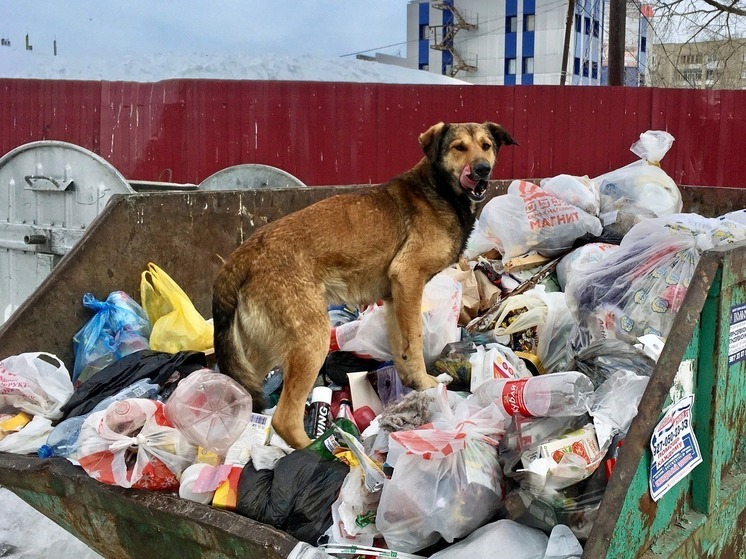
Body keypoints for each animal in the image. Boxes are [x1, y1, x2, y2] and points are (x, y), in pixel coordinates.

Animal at [212, 122, 516, 450]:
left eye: (486, 146)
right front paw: (425, 384)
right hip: (311, 340)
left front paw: (412, 384)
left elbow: (402, 347)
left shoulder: (395, 296)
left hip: (255, 356)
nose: (482, 169)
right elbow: (415, 341)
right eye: (459, 147)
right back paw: (323, 450)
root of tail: (240, 258)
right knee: (285, 418)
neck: (439, 190)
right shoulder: (408, 277)